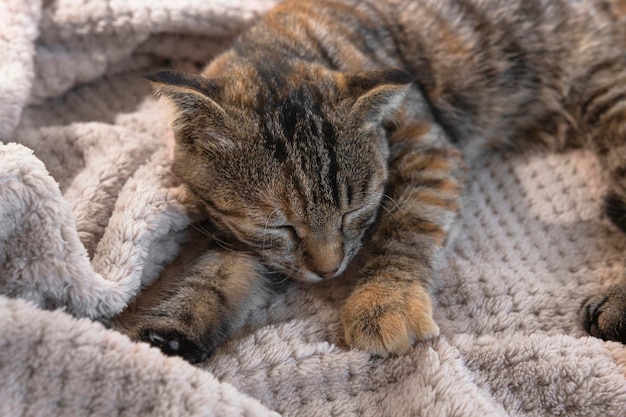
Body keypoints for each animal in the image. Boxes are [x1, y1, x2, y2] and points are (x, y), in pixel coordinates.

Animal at [132, 0, 624, 360]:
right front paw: (174, 329)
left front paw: (386, 301)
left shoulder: (432, 153)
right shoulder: (245, 237)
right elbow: (219, 273)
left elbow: (407, 227)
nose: (328, 270)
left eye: (353, 210)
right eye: (280, 225)